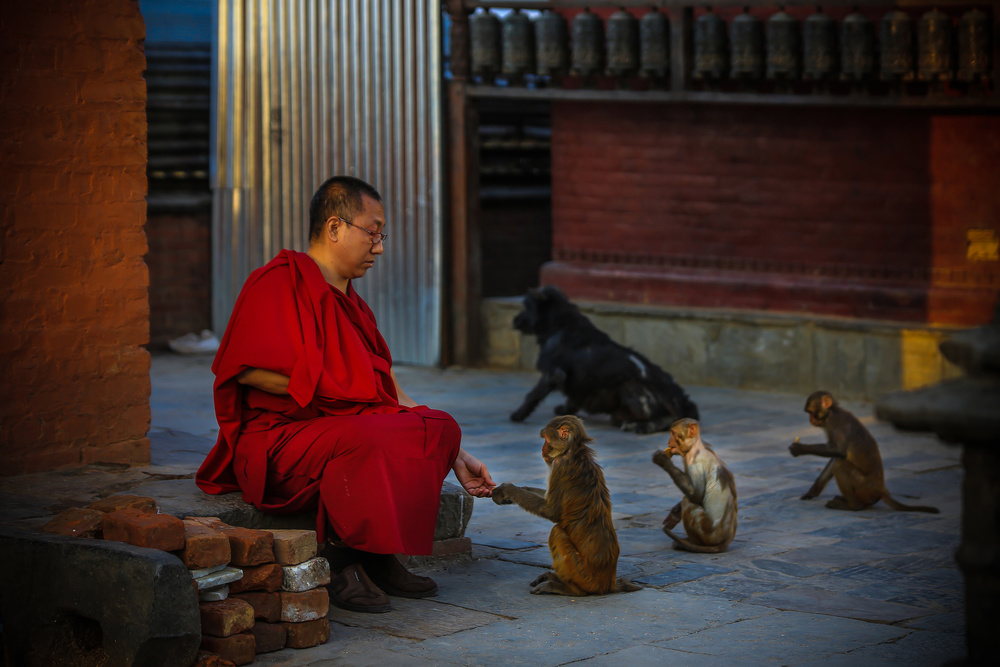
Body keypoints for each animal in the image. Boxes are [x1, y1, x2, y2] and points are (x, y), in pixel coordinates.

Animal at [492, 414, 640, 596]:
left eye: (546, 439)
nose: (542, 449)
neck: (574, 451)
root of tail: (608, 583)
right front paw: (514, 492)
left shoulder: (559, 465)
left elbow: (551, 511)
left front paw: (507, 490)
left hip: (583, 575)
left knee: (557, 532)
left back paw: (567, 588)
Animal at [512, 286, 700, 434]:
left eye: (526, 306)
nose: (514, 321)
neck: (560, 325)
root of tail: (680, 398)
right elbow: (572, 402)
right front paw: (565, 412)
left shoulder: (553, 373)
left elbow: (533, 395)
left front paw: (518, 414)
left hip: (633, 392)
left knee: (670, 419)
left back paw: (641, 426)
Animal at [652, 418, 740, 552]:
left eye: (672, 433)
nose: (668, 441)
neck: (696, 447)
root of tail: (727, 540)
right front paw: (676, 512)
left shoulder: (695, 464)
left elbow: (695, 496)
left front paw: (663, 460)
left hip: (709, 533)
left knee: (688, 502)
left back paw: (691, 544)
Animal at [788, 394, 936, 516]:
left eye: (811, 412)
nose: (810, 420)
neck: (832, 412)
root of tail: (881, 490)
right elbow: (837, 455)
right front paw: (814, 490)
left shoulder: (835, 424)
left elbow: (839, 452)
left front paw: (799, 448)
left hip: (864, 487)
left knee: (840, 465)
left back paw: (853, 506)